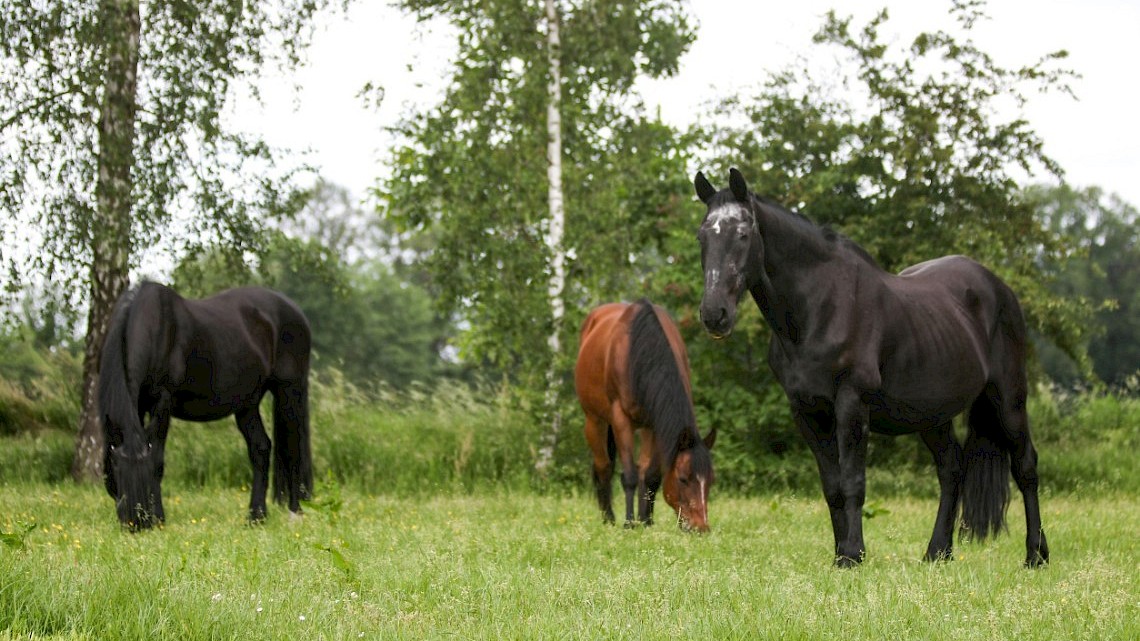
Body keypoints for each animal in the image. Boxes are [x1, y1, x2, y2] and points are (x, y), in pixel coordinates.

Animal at [96, 281, 312, 526]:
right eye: (118, 474)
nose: (138, 524)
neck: (155, 327)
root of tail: (294, 309)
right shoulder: (138, 406)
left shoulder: (163, 403)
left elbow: (158, 457)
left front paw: (160, 518)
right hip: (248, 404)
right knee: (261, 448)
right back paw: (256, 517)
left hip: (289, 392)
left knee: (293, 450)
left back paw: (294, 513)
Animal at [574, 298, 715, 529]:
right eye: (683, 478)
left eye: (711, 480)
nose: (700, 527)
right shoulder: (621, 420)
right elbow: (630, 475)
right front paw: (629, 522)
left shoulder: (655, 423)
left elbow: (650, 475)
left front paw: (646, 520)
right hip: (594, 421)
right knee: (603, 467)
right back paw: (608, 518)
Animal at [688, 168, 1044, 563]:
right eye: (703, 236)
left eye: (743, 234)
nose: (714, 314)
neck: (820, 308)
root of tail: (999, 288)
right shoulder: (806, 411)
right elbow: (832, 487)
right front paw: (841, 553)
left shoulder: (851, 404)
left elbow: (853, 483)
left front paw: (852, 554)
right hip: (932, 415)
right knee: (951, 469)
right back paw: (938, 552)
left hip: (1008, 399)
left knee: (1025, 467)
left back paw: (1036, 555)